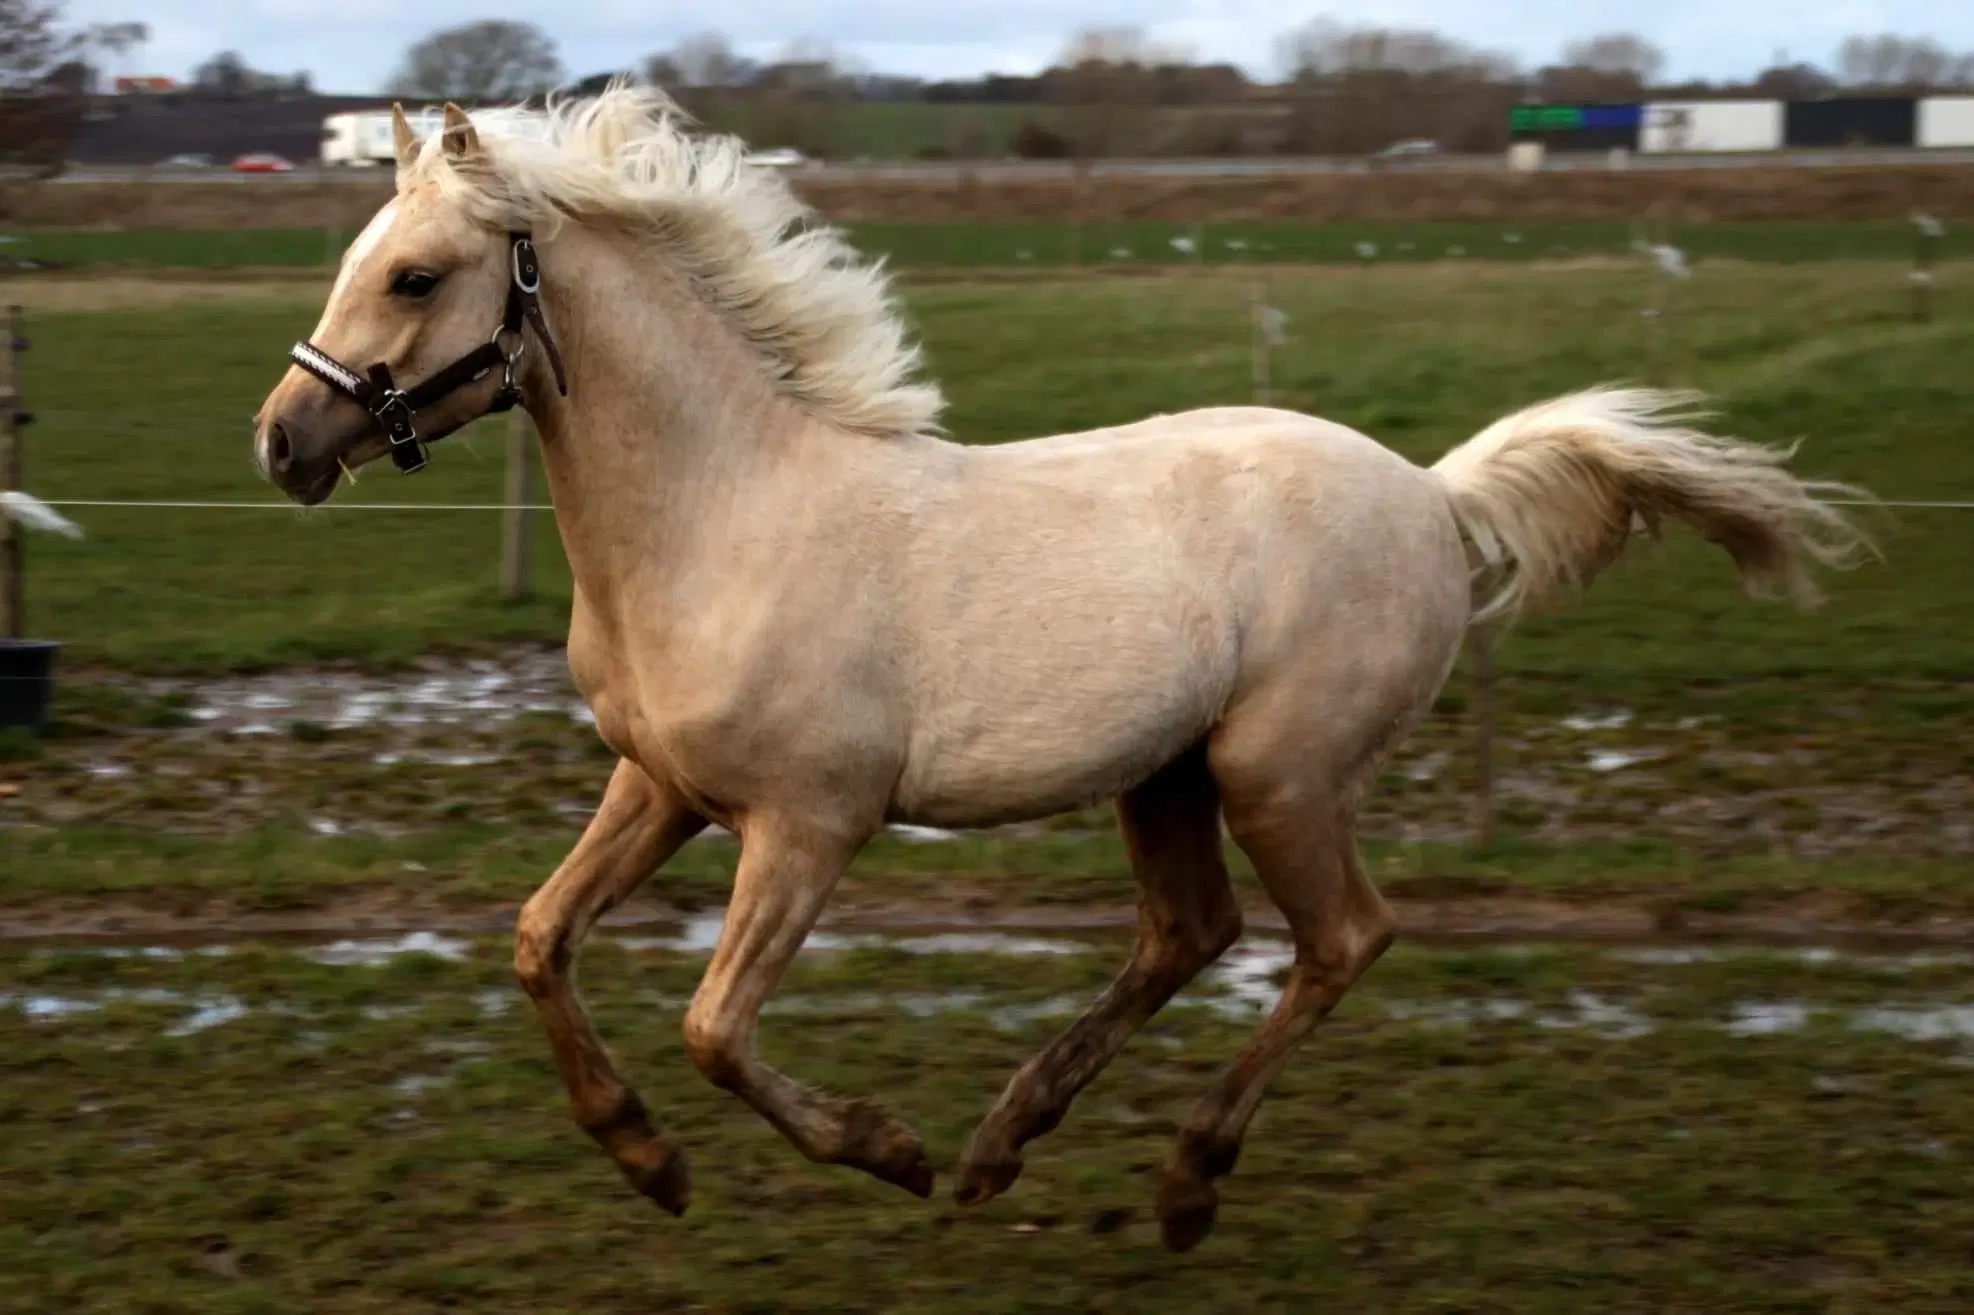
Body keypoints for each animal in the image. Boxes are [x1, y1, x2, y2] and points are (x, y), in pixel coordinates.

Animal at [254, 89, 1871, 1239]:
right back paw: (1001, 1146)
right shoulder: (658, 785)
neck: (727, 516)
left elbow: (715, 1025)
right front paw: (649, 1160)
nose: (283, 442)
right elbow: (539, 938)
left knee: (1340, 938)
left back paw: (1175, 1179)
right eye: (352, 263)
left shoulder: (809, 822)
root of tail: (1430, 490)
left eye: (415, 276)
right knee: (1189, 932)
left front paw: (878, 1149)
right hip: (1162, 773)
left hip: (1274, 771)